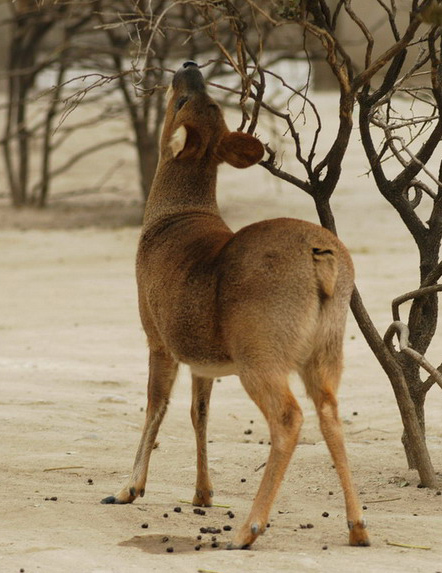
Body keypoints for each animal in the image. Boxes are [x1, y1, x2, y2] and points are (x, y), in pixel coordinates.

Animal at [102, 60, 370, 548]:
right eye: (208, 102)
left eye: (183, 101)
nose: (189, 66)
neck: (171, 220)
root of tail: (321, 258)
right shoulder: (202, 356)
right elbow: (199, 412)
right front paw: (202, 493)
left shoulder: (157, 334)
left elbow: (155, 405)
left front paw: (128, 488)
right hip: (327, 345)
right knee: (329, 411)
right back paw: (357, 527)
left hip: (260, 346)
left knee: (288, 417)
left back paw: (248, 529)